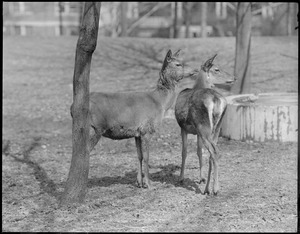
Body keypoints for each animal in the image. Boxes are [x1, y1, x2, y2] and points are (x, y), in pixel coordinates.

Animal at [71, 49, 199, 188]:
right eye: (178, 64)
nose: (195, 70)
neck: (160, 103)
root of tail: (72, 107)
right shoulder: (147, 129)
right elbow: (147, 156)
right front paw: (148, 183)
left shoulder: (137, 133)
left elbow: (139, 156)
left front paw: (139, 182)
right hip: (95, 127)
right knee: (84, 152)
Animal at [175, 54, 236, 195]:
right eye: (217, 69)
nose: (234, 77)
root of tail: (216, 100)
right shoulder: (196, 132)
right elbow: (199, 151)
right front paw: (201, 178)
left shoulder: (183, 128)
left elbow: (184, 151)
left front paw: (181, 178)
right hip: (215, 128)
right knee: (213, 153)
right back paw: (208, 188)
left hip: (204, 127)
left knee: (214, 152)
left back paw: (215, 189)